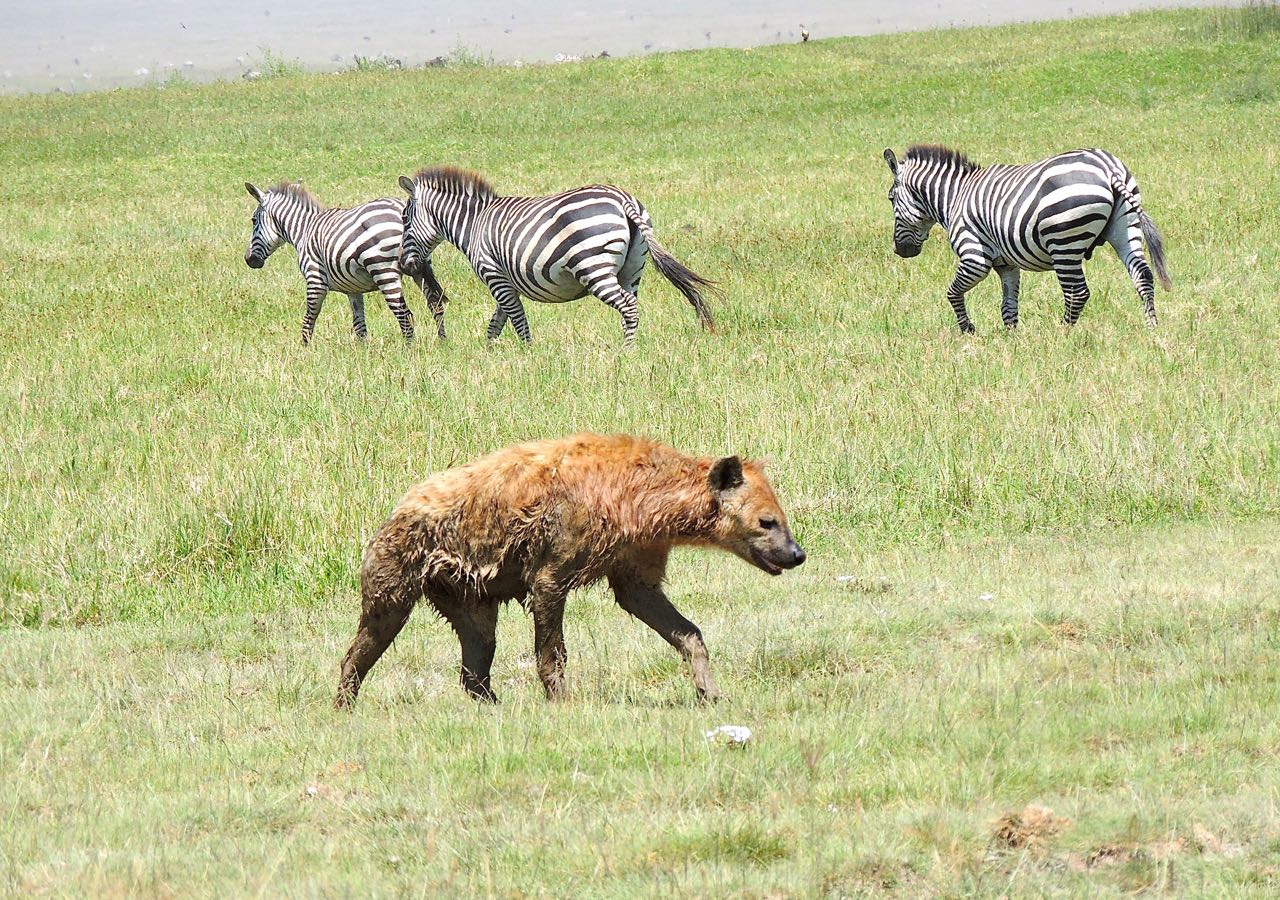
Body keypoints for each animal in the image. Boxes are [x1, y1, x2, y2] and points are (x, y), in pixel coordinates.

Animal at [241, 180, 448, 345]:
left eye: (253, 220)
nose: (249, 260)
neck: (304, 230)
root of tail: (399, 208)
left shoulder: (315, 281)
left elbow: (309, 318)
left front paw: (304, 352)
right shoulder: (353, 289)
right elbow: (359, 325)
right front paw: (363, 354)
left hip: (384, 271)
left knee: (405, 314)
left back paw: (409, 350)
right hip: (419, 265)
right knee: (435, 305)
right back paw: (442, 342)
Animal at [396, 167, 721, 343]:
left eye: (404, 220)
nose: (402, 263)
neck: (474, 223)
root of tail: (623, 200)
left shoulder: (494, 276)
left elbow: (517, 321)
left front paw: (528, 356)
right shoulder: (506, 282)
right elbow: (496, 324)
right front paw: (489, 355)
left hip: (594, 266)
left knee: (627, 307)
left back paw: (625, 353)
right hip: (633, 268)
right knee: (632, 307)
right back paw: (629, 347)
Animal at [880, 145, 1172, 332]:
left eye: (891, 199)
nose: (899, 250)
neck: (955, 197)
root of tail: (1108, 168)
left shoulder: (974, 257)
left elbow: (952, 293)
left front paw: (968, 330)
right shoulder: (1006, 264)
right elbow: (1008, 305)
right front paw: (1012, 337)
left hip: (1064, 242)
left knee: (1077, 292)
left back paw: (1063, 333)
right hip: (1126, 228)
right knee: (1143, 276)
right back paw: (1152, 327)